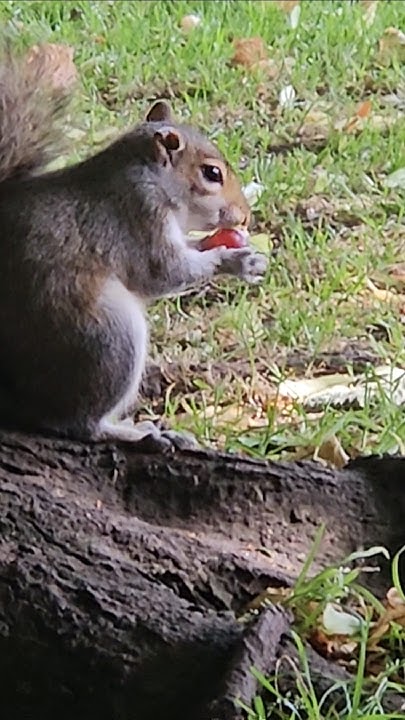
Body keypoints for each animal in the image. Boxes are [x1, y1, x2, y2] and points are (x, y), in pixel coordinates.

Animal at [0, 47, 268, 450]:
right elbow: (163, 273)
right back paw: (138, 433)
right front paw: (235, 260)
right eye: (212, 174)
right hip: (105, 335)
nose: (245, 216)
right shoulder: (136, 218)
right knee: (75, 423)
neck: (147, 177)